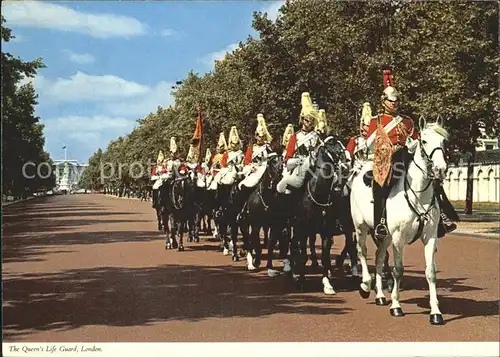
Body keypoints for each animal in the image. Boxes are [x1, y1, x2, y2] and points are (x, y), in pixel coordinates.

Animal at [348, 118, 450, 324]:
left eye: (444, 141)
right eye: (424, 141)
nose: (440, 169)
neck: (419, 194)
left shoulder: (430, 237)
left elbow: (431, 272)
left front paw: (435, 312)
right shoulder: (398, 238)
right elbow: (398, 270)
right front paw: (396, 306)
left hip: (384, 235)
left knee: (379, 257)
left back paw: (380, 295)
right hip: (361, 227)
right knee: (362, 252)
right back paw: (365, 285)